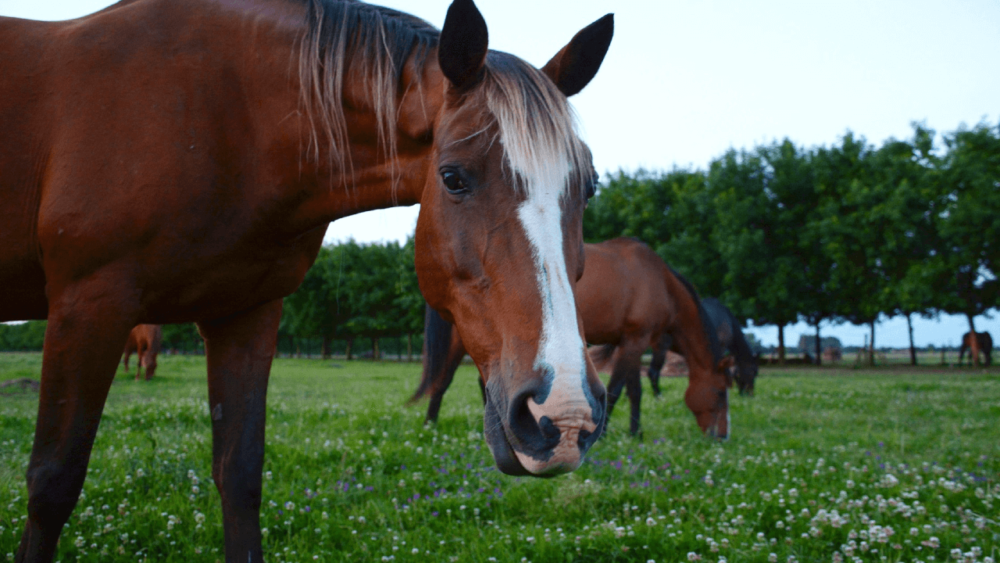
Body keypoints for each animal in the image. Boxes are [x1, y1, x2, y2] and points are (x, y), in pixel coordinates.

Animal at [0, 2, 612, 560]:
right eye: (453, 177)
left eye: (590, 186)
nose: (564, 415)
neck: (223, 118)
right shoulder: (88, 303)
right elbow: (52, 483)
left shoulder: (246, 313)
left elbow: (240, 476)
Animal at [414, 236, 736, 438]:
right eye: (721, 392)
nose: (721, 436)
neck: (660, 281)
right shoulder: (635, 341)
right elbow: (617, 389)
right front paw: (605, 435)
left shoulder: (632, 341)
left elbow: (634, 390)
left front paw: (636, 432)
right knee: (444, 380)